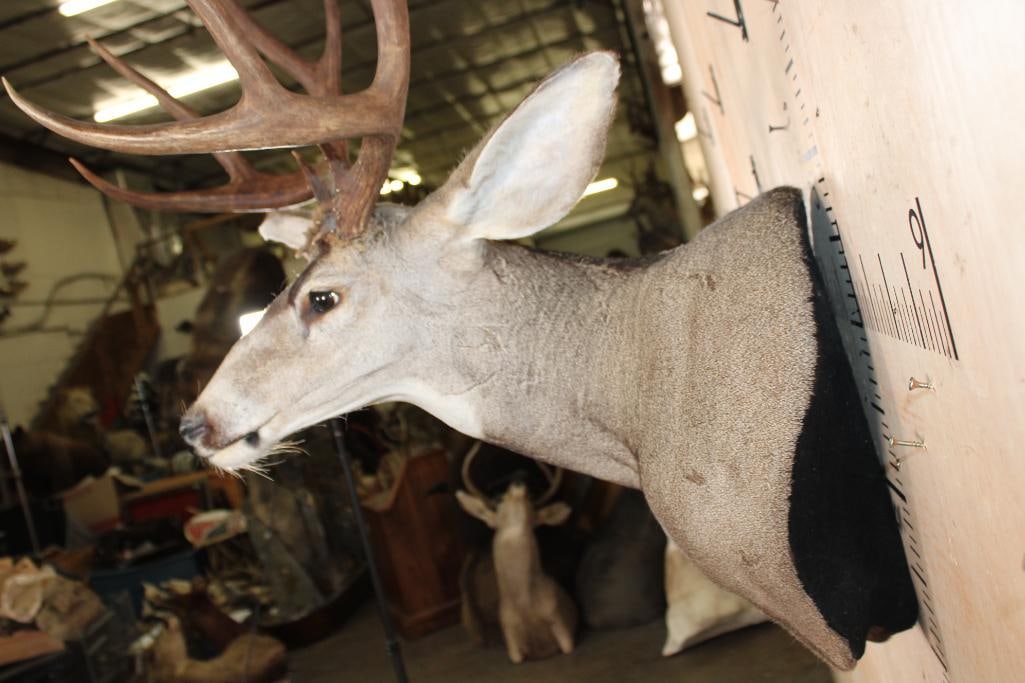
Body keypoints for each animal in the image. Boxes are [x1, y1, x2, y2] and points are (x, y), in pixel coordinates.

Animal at [455, 443, 576, 663]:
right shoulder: (510, 638)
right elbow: (516, 657)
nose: (518, 483)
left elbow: (567, 646)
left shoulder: (560, 621)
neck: (526, 607)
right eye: (500, 500)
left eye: (531, 498)